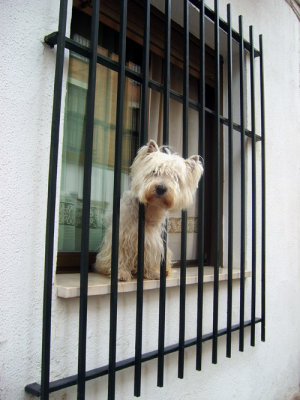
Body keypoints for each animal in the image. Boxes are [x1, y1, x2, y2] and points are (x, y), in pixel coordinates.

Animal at [95, 141, 203, 282]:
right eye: (154, 171)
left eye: (176, 178)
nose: (161, 188)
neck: (150, 208)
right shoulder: (122, 235)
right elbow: (121, 254)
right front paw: (121, 273)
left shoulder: (153, 240)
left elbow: (152, 255)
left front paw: (153, 272)